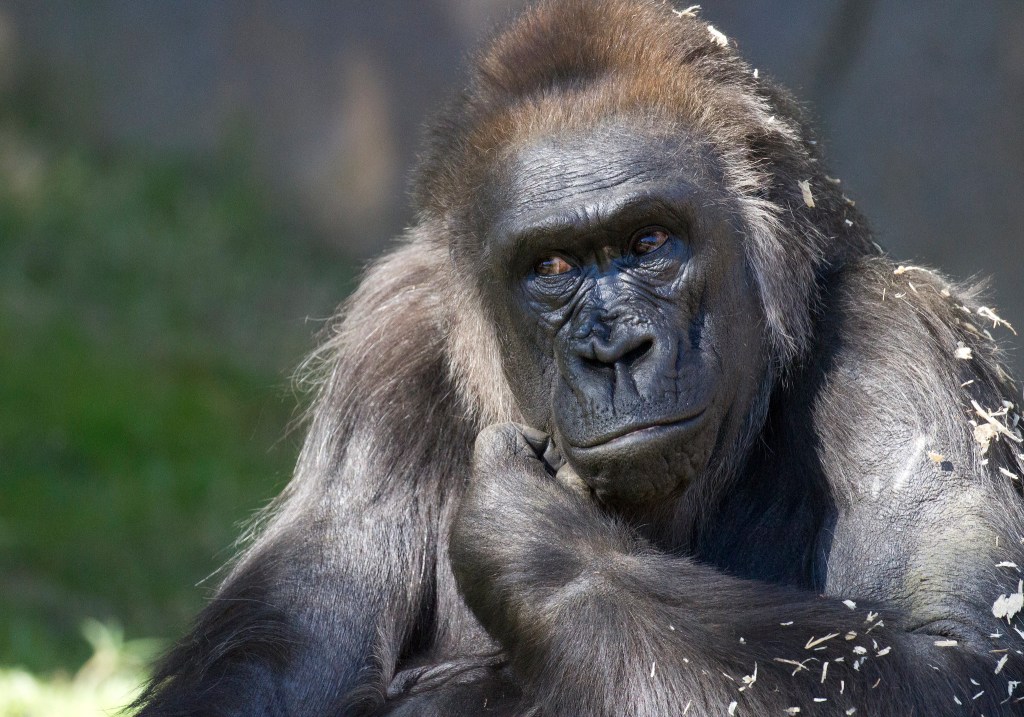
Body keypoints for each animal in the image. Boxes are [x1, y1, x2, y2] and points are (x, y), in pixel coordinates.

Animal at [136, 1, 1024, 717]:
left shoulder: (902, 341)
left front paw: (546, 542)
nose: (614, 351)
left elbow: (960, 663)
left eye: (651, 241)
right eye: (553, 267)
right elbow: (278, 658)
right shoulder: (391, 341)